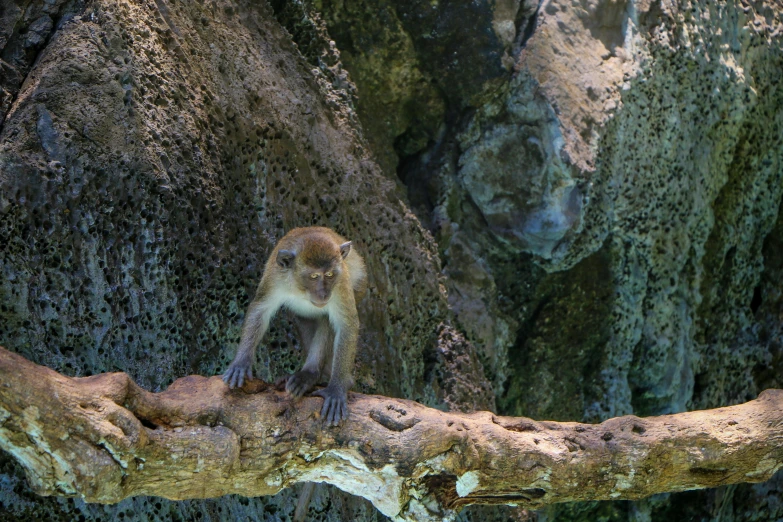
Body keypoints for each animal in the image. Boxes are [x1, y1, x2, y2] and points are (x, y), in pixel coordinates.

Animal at [222, 225, 366, 424]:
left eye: (329, 274)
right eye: (314, 276)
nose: (323, 294)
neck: (300, 289)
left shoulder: (341, 282)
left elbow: (347, 325)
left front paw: (336, 389)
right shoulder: (275, 276)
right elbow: (260, 309)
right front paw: (241, 363)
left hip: (358, 286)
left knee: (326, 322)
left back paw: (310, 374)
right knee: (305, 320)